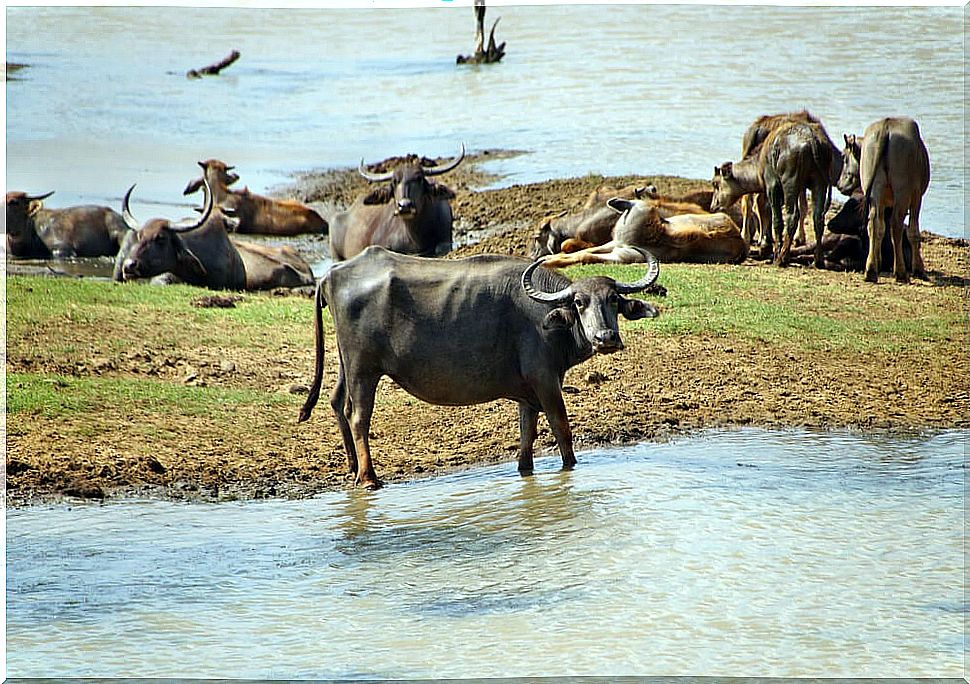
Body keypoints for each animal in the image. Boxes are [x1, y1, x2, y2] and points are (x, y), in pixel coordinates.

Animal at [294, 246, 656, 492]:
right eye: (579, 303)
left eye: (613, 299)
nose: (605, 338)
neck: (547, 317)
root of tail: (332, 274)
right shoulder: (545, 380)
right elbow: (562, 431)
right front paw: (570, 466)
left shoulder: (528, 392)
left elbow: (527, 435)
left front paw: (525, 470)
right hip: (363, 368)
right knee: (359, 416)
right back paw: (369, 478)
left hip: (346, 365)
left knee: (338, 404)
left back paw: (353, 468)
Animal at [832, 116, 932, 282]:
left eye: (844, 158)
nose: (839, 184)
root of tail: (886, 126)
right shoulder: (916, 196)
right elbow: (912, 231)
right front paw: (918, 269)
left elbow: (881, 227)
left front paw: (878, 261)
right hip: (902, 191)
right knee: (896, 226)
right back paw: (901, 273)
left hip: (876, 190)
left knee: (873, 223)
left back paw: (871, 270)